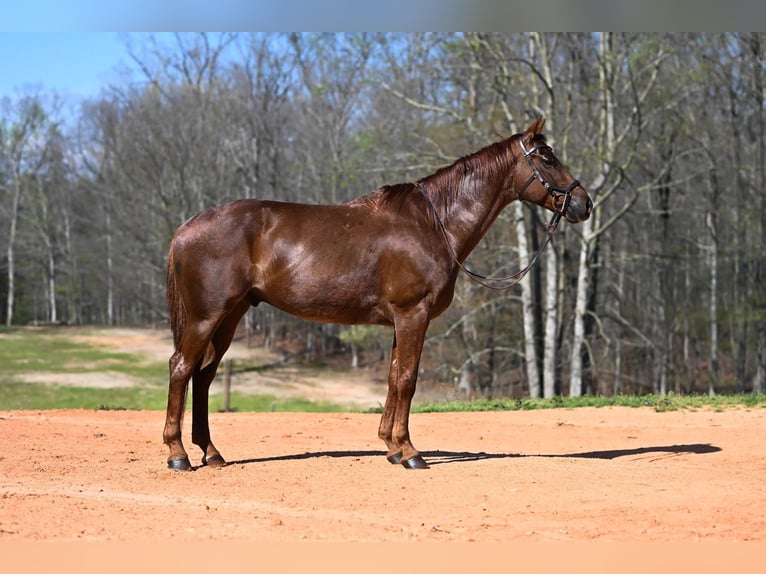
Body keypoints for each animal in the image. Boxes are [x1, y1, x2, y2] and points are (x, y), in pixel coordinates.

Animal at [162, 116, 592, 471]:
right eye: (548, 159)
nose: (584, 203)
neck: (433, 223)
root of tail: (186, 228)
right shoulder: (413, 314)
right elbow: (408, 379)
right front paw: (411, 452)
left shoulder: (400, 321)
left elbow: (392, 377)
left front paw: (391, 447)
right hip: (206, 316)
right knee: (181, 368)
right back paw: (178, 454)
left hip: (231, 316)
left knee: (203, 375)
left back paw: (212, 453)